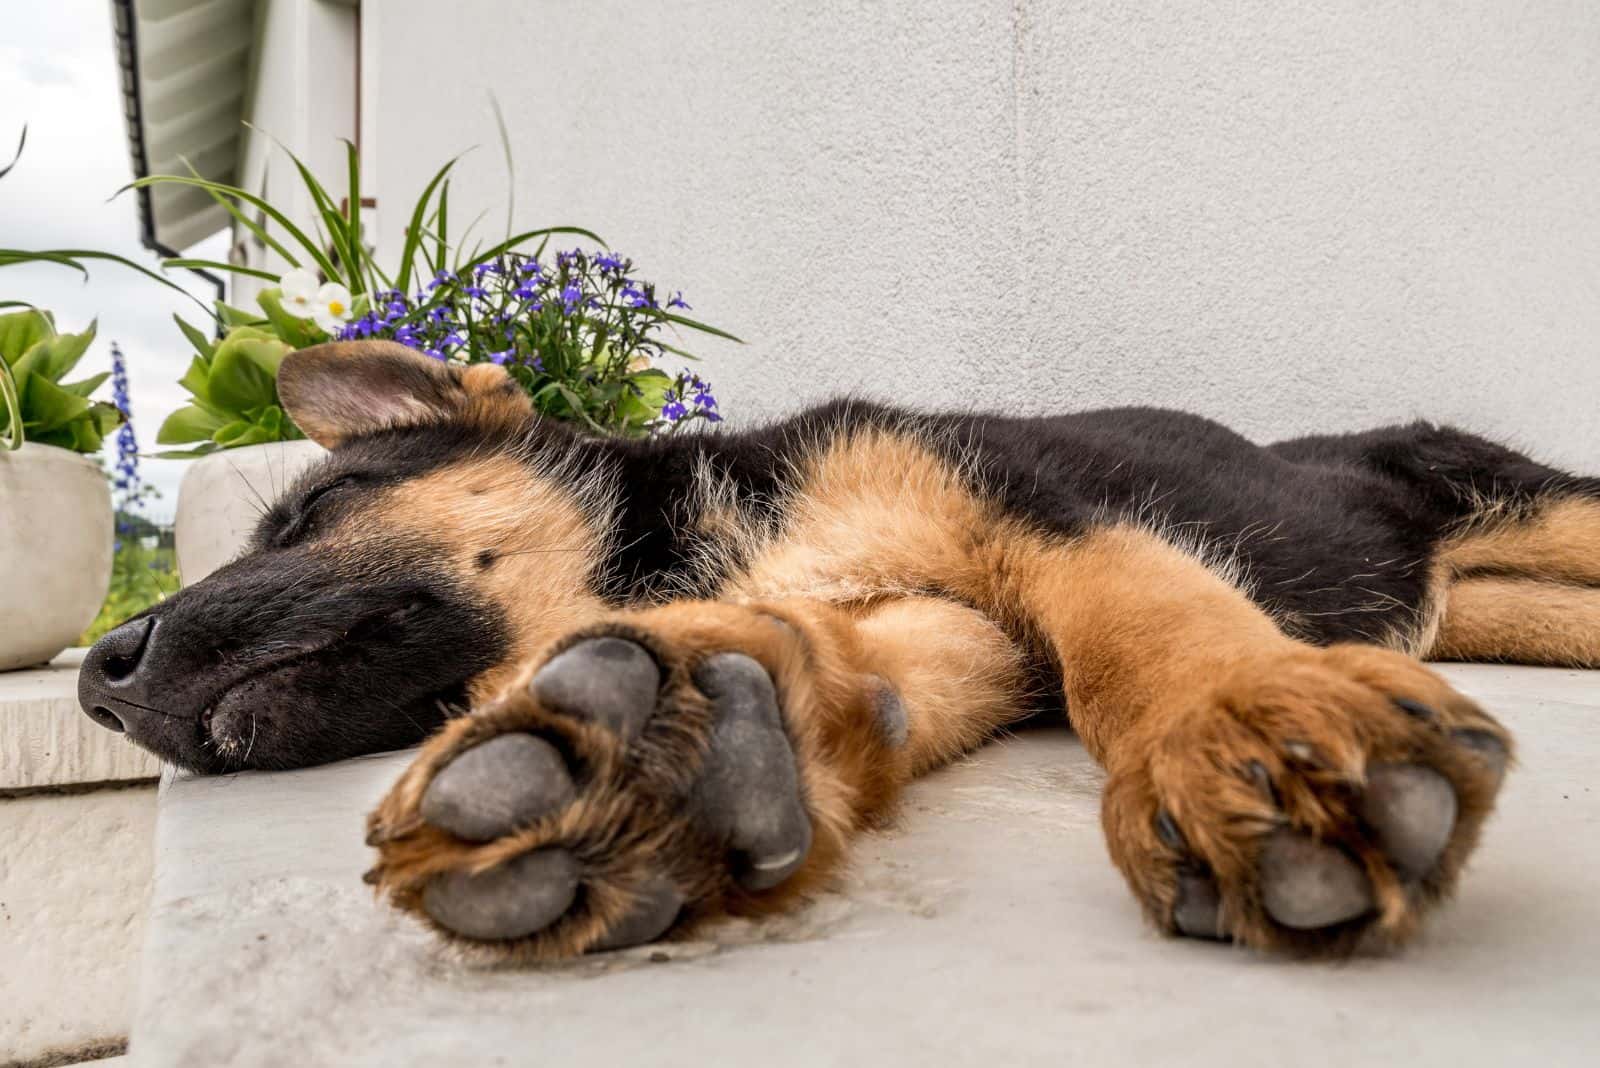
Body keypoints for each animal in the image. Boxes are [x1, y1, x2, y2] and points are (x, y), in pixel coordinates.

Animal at [78, 343, 1600, 959]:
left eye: (316, 510)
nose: (100, 673)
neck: (710, 540)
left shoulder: (1050, 527)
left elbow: (1140, 634)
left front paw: (1236, 719)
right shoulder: (961, 629)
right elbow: (848, 667)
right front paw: (674, 756)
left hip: (1537, 509)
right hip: (1492, 598)